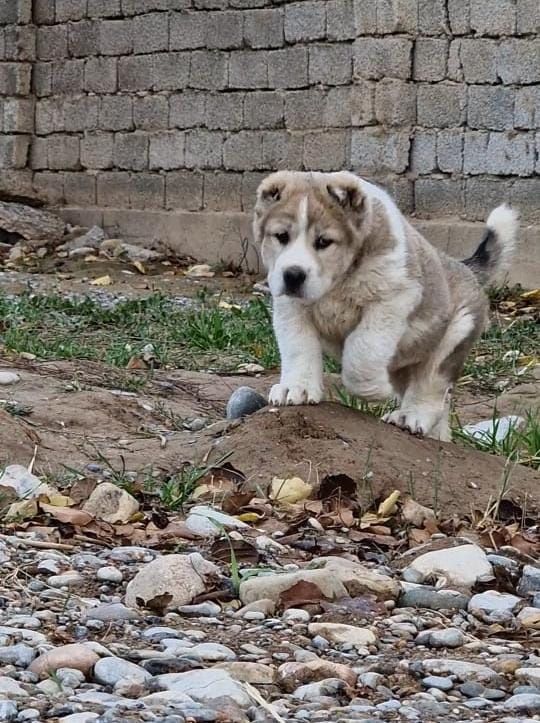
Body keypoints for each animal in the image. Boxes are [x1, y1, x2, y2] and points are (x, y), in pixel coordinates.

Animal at [253, 171, 520, 442]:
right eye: (282, 237)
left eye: (324, 241)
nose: (293, 275)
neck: (339, 282)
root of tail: (465, 267)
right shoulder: (291, 309)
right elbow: (298, 348)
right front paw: (296, 388)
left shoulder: (392, 300)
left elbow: (363, 352)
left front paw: (376, 391)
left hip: (455, 335)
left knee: (430, 386)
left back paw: (411, 417)